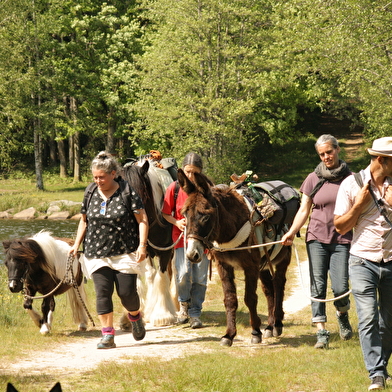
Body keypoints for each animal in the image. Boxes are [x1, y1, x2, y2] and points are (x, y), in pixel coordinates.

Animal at [120, 159, 178, 328]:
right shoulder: (144, 252)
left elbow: (161, 276)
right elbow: (151, 276)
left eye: (140, 191)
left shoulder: (165, 251)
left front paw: (163, 315)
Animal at [178, 168, 290, 346]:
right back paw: (270, 326)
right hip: (264, 264)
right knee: (268, 290)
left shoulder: (250, 267)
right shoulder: (224, 265)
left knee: (279, 284)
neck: (229, 230)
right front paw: (229, 335)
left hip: (282, 258)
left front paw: (255, 332)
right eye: (185, 214)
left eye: (206, 216)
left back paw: (277, 324)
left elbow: (250, 298)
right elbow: (230, 299)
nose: (192, 254)